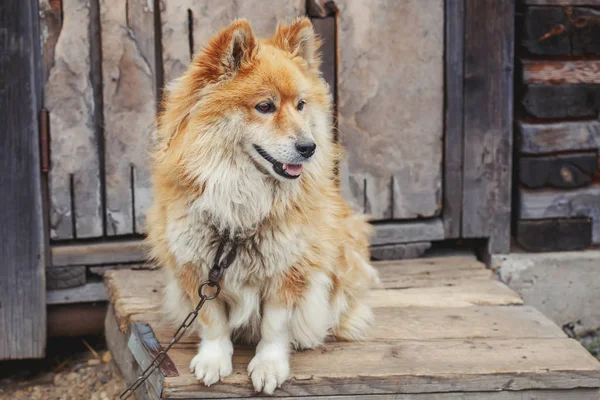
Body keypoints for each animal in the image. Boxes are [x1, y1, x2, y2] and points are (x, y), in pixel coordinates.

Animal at [146, 16, 380, 394]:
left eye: (300, 105)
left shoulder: (288, 269)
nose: (309, 147)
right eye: (265, 107)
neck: (243, 199)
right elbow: (212, 320)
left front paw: (269, 365)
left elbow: (275, 326)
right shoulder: (196, 267)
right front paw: (214, 359)